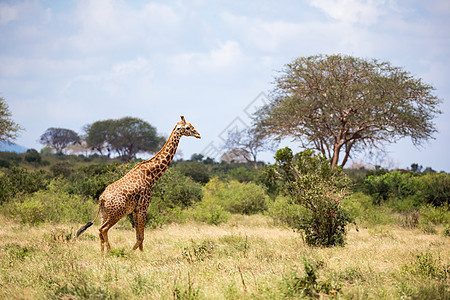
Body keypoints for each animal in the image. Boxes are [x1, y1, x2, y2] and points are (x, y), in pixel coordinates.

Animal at [76, 116, 200, 252]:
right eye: (187, 127)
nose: (198, 134)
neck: (151, 175)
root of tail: (101, 198)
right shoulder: (143, 207)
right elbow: (141, 237)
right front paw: (135, 253)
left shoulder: (135, 210)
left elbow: (138, 237)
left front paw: (139, 253)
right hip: (116, 214)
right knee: (102, 229)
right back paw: (109, 252)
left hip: (104, 214)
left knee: (100, 231)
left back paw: (102, 253)